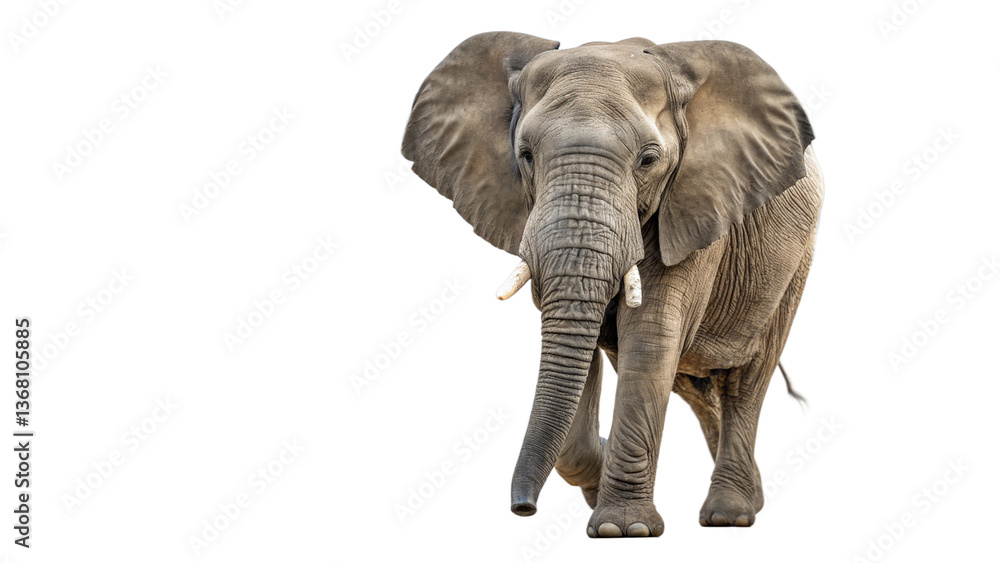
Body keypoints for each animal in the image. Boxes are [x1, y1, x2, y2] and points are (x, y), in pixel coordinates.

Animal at [401, 32, 823, 537]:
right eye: (525, 156)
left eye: (648, 160)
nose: (523, 509)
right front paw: (600, 485)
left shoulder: (694, 206)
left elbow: (650, 335)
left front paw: (622, 529)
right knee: (694, 385)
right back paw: (750, 497)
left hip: (794, 262)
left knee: (746, 380)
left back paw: (730, 515)